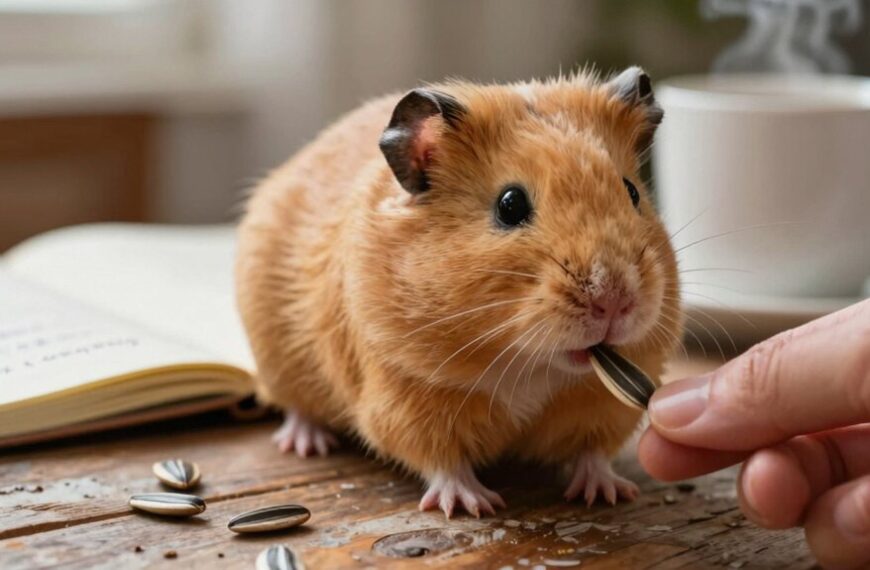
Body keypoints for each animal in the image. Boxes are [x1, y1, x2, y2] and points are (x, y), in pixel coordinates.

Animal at [235, 66, 682, 518]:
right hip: (278, 359)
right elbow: (443, 461)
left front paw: (609, 493)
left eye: (632, 192)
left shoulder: (603, 407)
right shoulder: (406, 398)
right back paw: (307, 444)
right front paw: (473, 506)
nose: (614, 300)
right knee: (295, 408)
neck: (527, 364)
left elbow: (594, 453)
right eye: (510, 205)